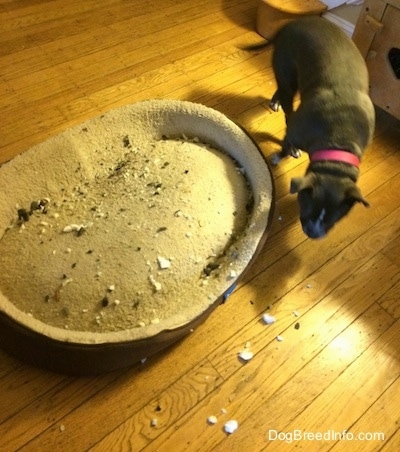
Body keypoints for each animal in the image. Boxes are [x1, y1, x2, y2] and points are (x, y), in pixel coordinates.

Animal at [245, 17, 374, 238]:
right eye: (305, 204)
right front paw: (281, 155)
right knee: (287, 101)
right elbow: (286, 140)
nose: (313, 233)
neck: (340, 142)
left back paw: (276, 102)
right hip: (288, 72)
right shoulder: (296, 131)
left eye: (336, 217)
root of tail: (293, 23)